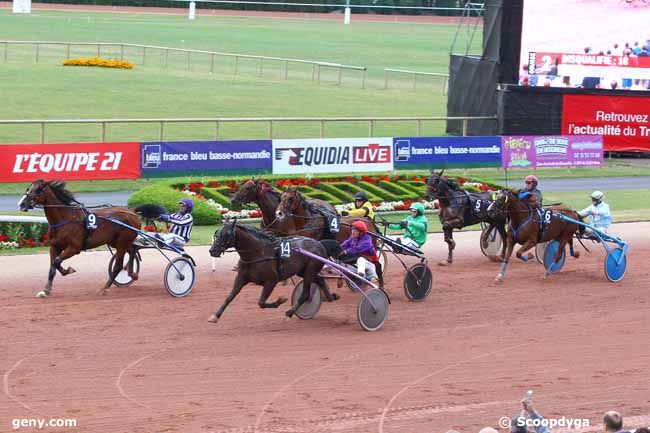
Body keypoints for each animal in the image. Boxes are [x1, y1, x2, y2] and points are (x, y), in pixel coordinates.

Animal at [208, 221, 340, 318]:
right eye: (216, 233)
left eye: (226, 234)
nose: (212, 250)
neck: (257, 254)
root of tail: (320, 244)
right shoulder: (241, 278)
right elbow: (230, 296)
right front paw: (216, 316)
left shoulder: (271, 281)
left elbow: (261, 303)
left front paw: (280, 301)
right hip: (303, 271)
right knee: (320, 280)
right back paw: (331, 297)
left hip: (309, 271)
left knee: (306, 294)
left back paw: (290, 313)